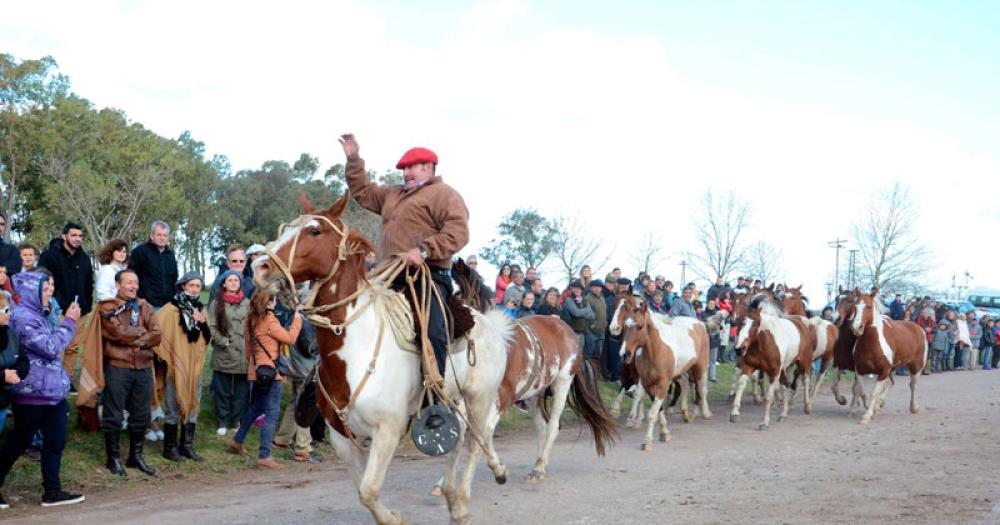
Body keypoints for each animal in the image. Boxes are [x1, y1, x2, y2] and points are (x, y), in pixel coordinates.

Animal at [252, 195, 516, 524]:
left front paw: (396, 518)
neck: (354, 348)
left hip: (480, 397)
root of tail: (488, 322)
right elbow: (364, 492)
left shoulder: (388, 430)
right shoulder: (342, 438)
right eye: (286, 228)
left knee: (475, 441)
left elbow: (369, 490)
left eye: (314, 231)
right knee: (465, 438)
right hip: (455, 398)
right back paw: (457, 490)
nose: (259, 267)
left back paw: (466, 499)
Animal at [852, 288, 928, 424]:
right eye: (855, 306)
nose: (857, 328)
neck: (872, 343)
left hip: (916, 366)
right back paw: (879, 404)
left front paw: (867, 415)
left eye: (869, 306)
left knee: (913, 386)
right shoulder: (860, 370)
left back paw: (913, 407)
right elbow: (862, 391)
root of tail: (918, 328)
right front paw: (870, 407)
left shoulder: (883, 371)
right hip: (892, 369)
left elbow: (874, 393)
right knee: (891, 383)